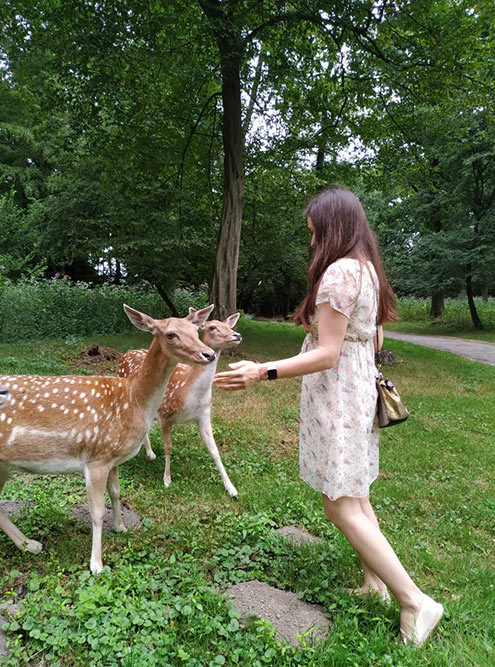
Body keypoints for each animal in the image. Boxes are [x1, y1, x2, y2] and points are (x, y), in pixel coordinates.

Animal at [0, 306, 217, 572]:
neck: (132, 400)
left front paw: (121, 527)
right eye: (170, 334)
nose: (209, 354)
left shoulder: (112, 457)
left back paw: (30, 545)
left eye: (196, 331)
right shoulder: (97, 458)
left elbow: (115, 492)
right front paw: (96, 565)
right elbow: (96, 512)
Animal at [116, 312, 240, 496]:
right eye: (212, 327)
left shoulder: (204, 415)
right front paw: (167, 479)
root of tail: (124, 354)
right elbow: (168, 447)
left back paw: (150, 453)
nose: (237, 335)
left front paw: (231, 488)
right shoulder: (165, 414)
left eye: (229, 326)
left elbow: (214, 450)